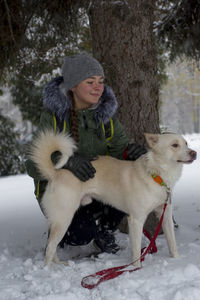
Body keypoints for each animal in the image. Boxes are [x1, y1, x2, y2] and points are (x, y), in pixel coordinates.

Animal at [28, 131, 196, 268]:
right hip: (64, 219)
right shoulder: (136, 220)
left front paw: (177, 260)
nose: (194, 153)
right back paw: (48, 271)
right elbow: (136, 251)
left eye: (186, 143)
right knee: (50, 246)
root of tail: (55, 173)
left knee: (51, 244)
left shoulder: (165, 215)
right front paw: (136, 269)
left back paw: (58, 264)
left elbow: (172, 243)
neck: (156, 175)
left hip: (60, 220)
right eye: (174, 145)